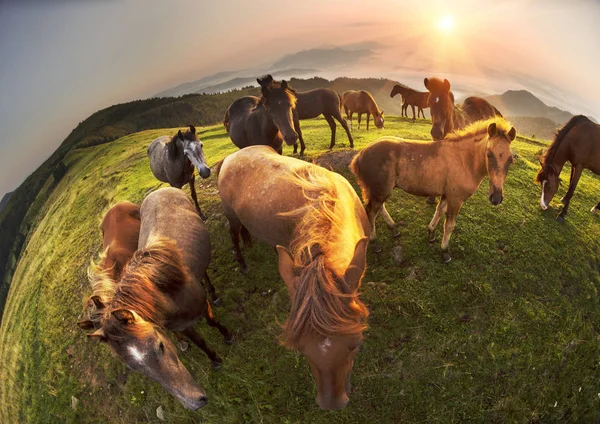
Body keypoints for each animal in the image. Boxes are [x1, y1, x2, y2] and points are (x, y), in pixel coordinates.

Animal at [77, 189, 232, 410]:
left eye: (160, 346)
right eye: (135, 368)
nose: (194, 403)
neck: (166, 292)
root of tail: (159, 190)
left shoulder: (202, 307)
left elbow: (212, 322)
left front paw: (227, 335)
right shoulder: (181, 325)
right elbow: (199, 341)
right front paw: (214, 359)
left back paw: (213, 292)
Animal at [219, 144, 370, 410]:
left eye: (356, 344)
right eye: (300, 348)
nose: (331, 404)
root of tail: (230, 157)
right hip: (232, 217)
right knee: (234, 236)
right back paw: (243, 263)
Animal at [352, 116, 516, 262]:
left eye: (510, 159)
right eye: (489, 154)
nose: (496, 198)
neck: (464, 160)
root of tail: (360, 155)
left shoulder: (446, 194)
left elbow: (439, 210)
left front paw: (431, 234)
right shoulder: (456, 199)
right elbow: (449, 225)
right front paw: (445, 252)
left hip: (380, 190)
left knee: (380, 208)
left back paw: (394, 229)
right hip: (381, 190)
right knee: (371, 211)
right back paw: (375, 243)